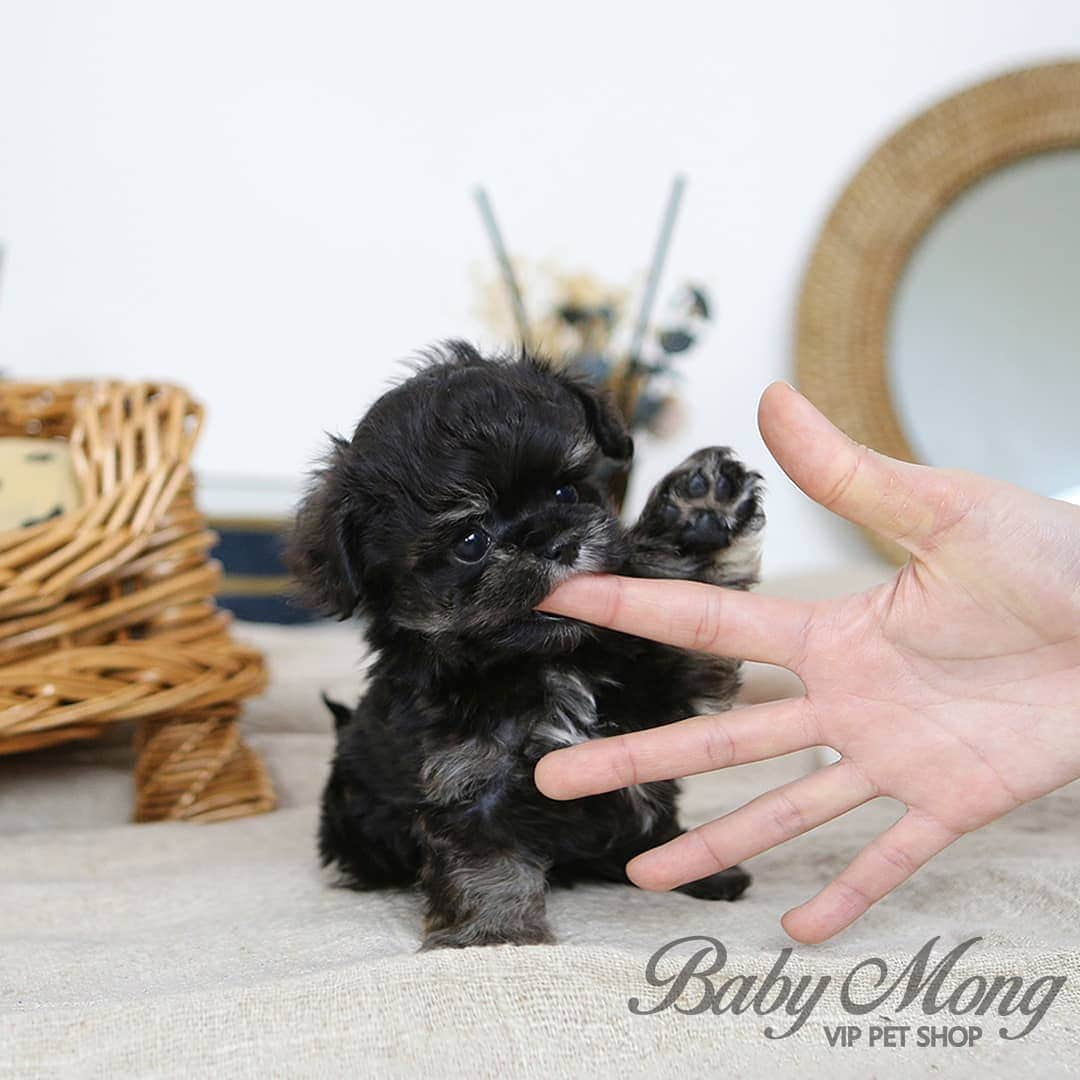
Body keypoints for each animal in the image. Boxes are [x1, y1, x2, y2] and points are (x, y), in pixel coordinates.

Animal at [282, 341, 764, 950]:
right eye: (470, 541)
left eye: (565, 491)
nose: (556, 541)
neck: (545, 661)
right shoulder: (468, 782)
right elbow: (486, 866)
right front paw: (498, 935)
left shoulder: (662, 702)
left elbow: (680, 613)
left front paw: (699, 516)